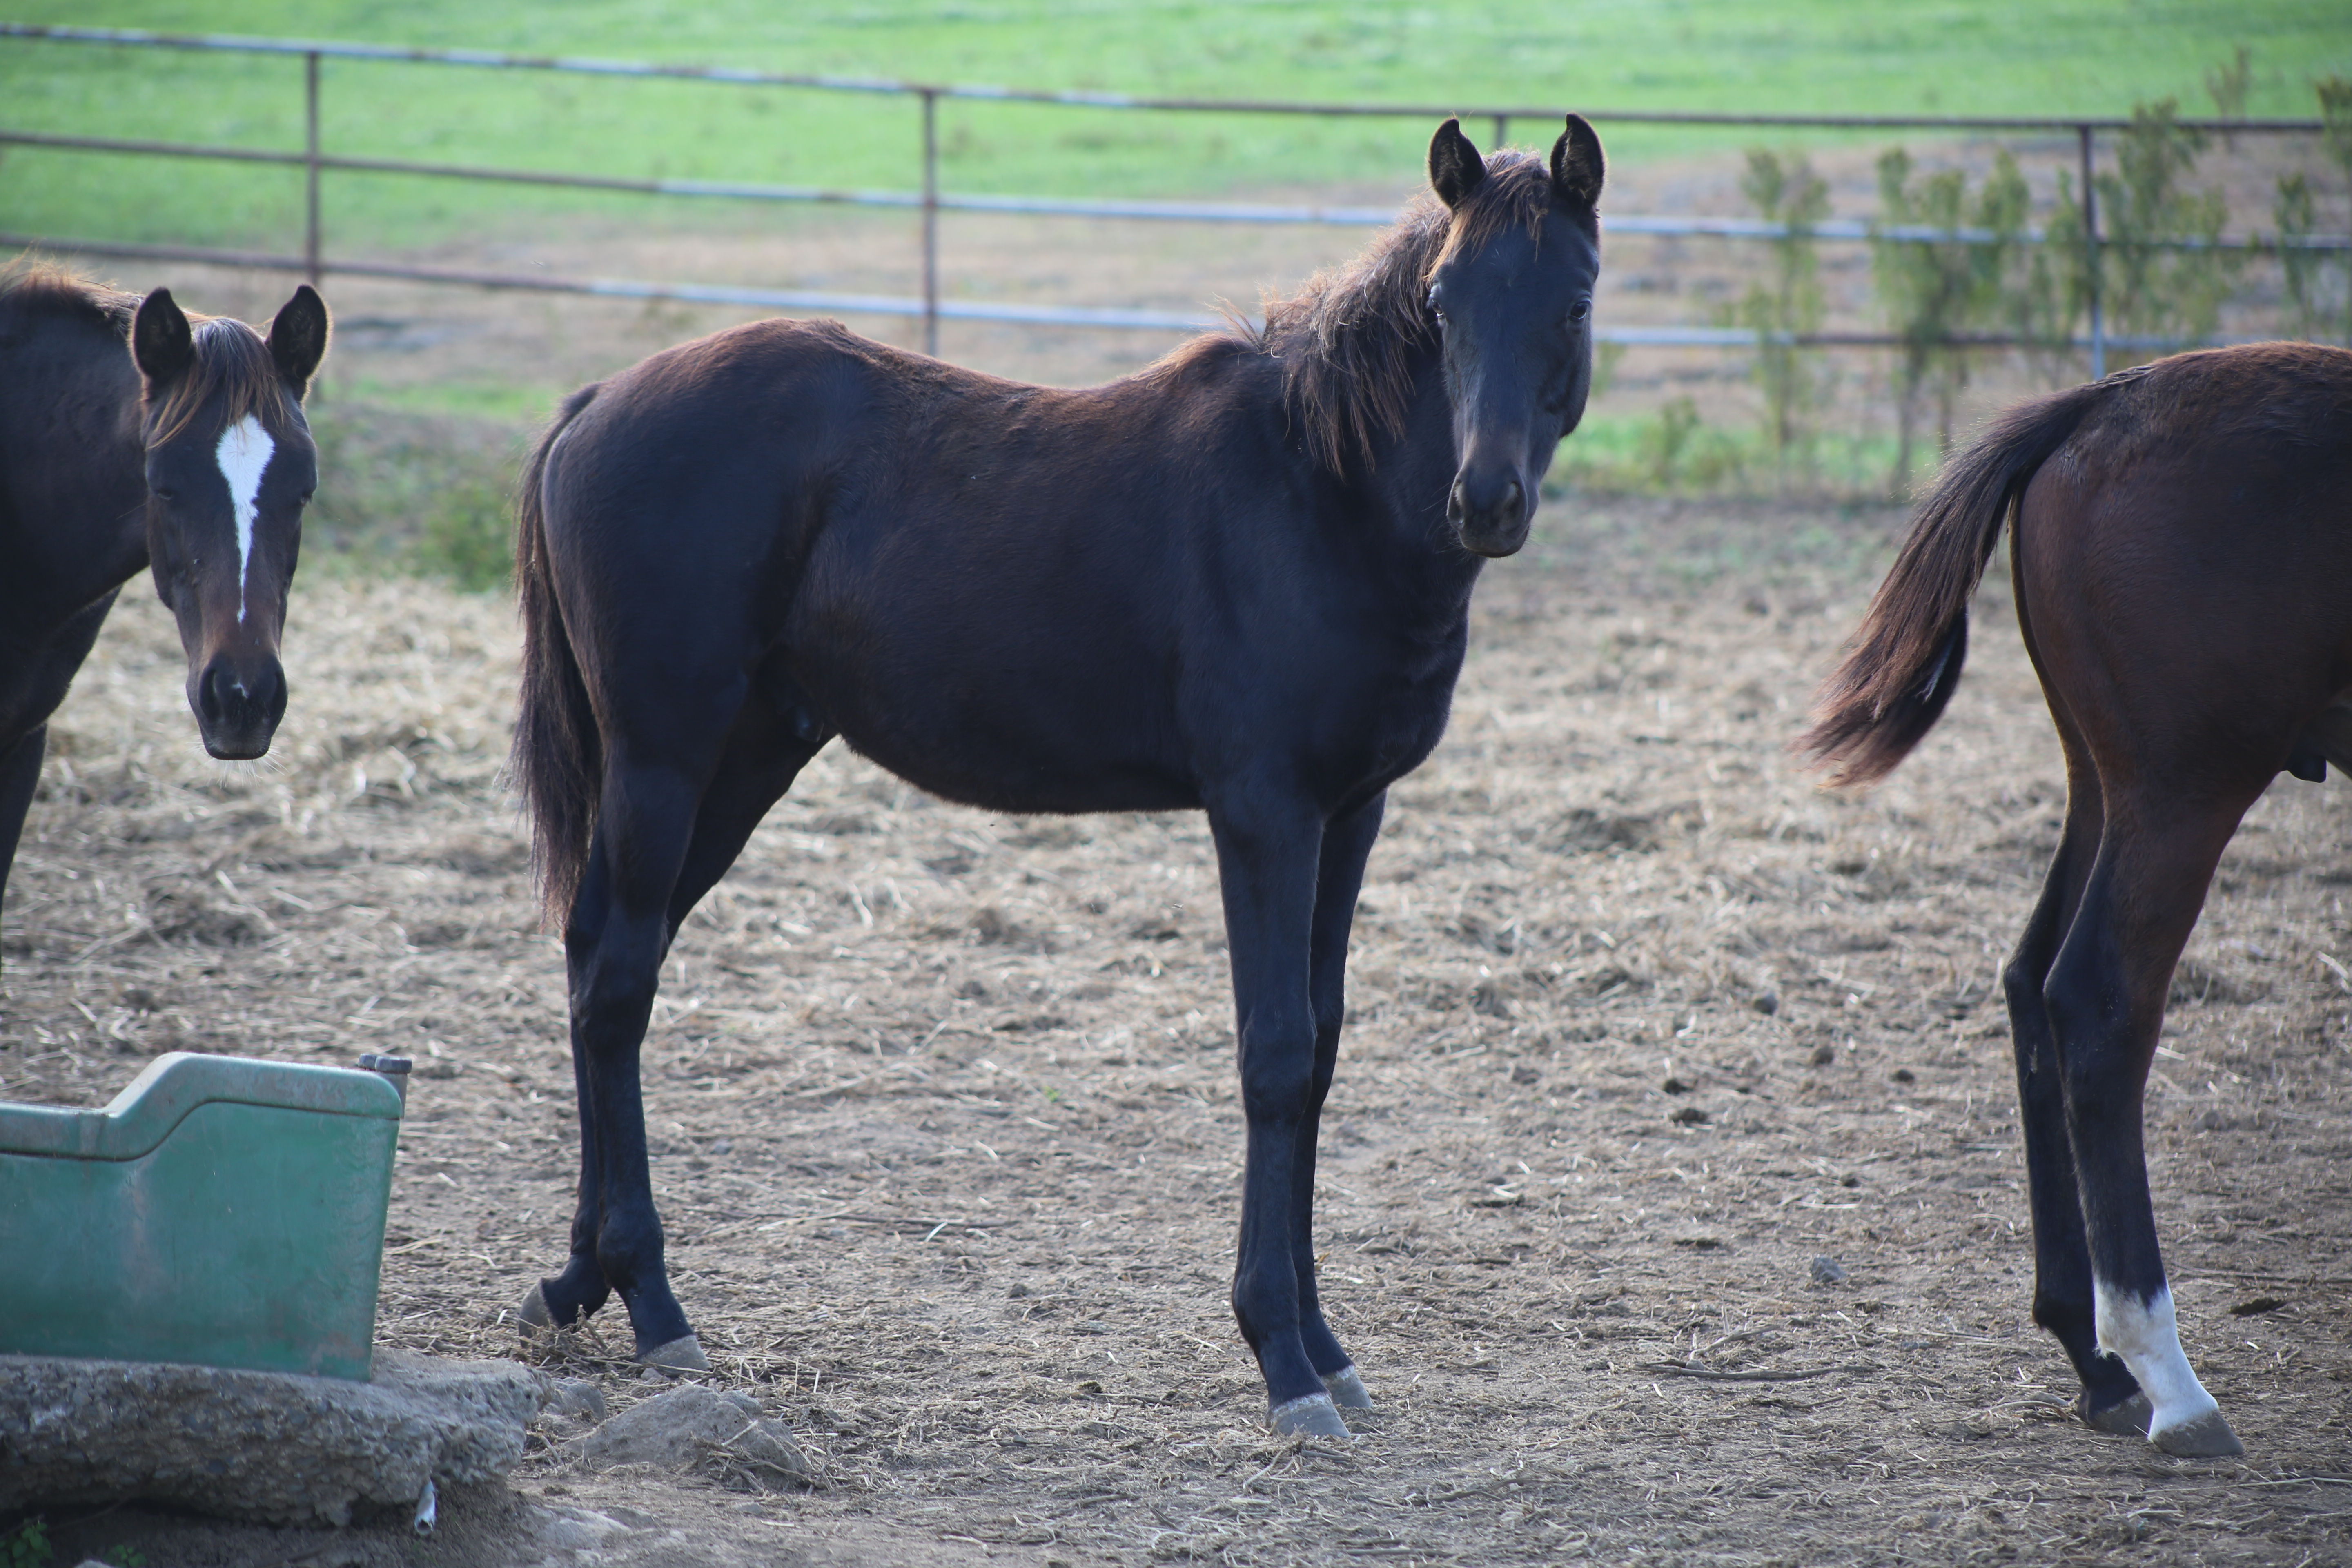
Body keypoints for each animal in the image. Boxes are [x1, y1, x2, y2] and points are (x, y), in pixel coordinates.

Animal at [512, 120, 1608, 1439]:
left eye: (1575, 299)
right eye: (1442, 304)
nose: (1484, 498)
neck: (1318, 494)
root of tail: (594, 404)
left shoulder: (1352, 812)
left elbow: (1324, 1050)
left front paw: (1328, 1345)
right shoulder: (1263, 814)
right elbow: (1274, 1056)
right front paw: (1282, 1360)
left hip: (744, 757)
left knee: (595, 953)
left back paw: (577, 1280)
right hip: (667, 755)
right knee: (618, 984)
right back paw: (656, 1303)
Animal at [1806, 343, 2352, 1457]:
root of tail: (2099, 401)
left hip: (2102, 781)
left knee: (2031, 978)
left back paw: (2095, 1357)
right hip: (2181, 789)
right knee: (2098, 1000)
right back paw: (2166, 1375)